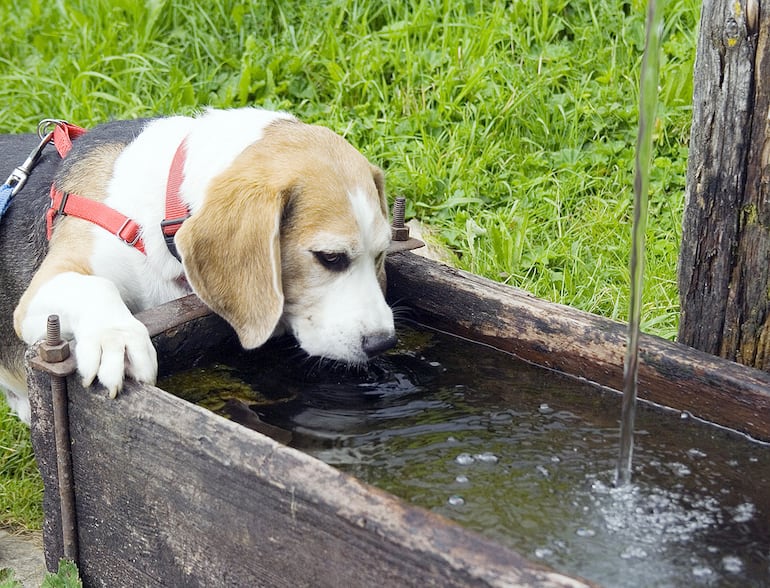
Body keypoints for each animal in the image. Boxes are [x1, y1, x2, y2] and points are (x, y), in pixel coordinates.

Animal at [0, 109, 396, 422]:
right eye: (330, 258)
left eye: (381, 253)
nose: (383, 343)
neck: (160, 211)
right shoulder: (43, 291)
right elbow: (96, 286)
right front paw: (117, 338)